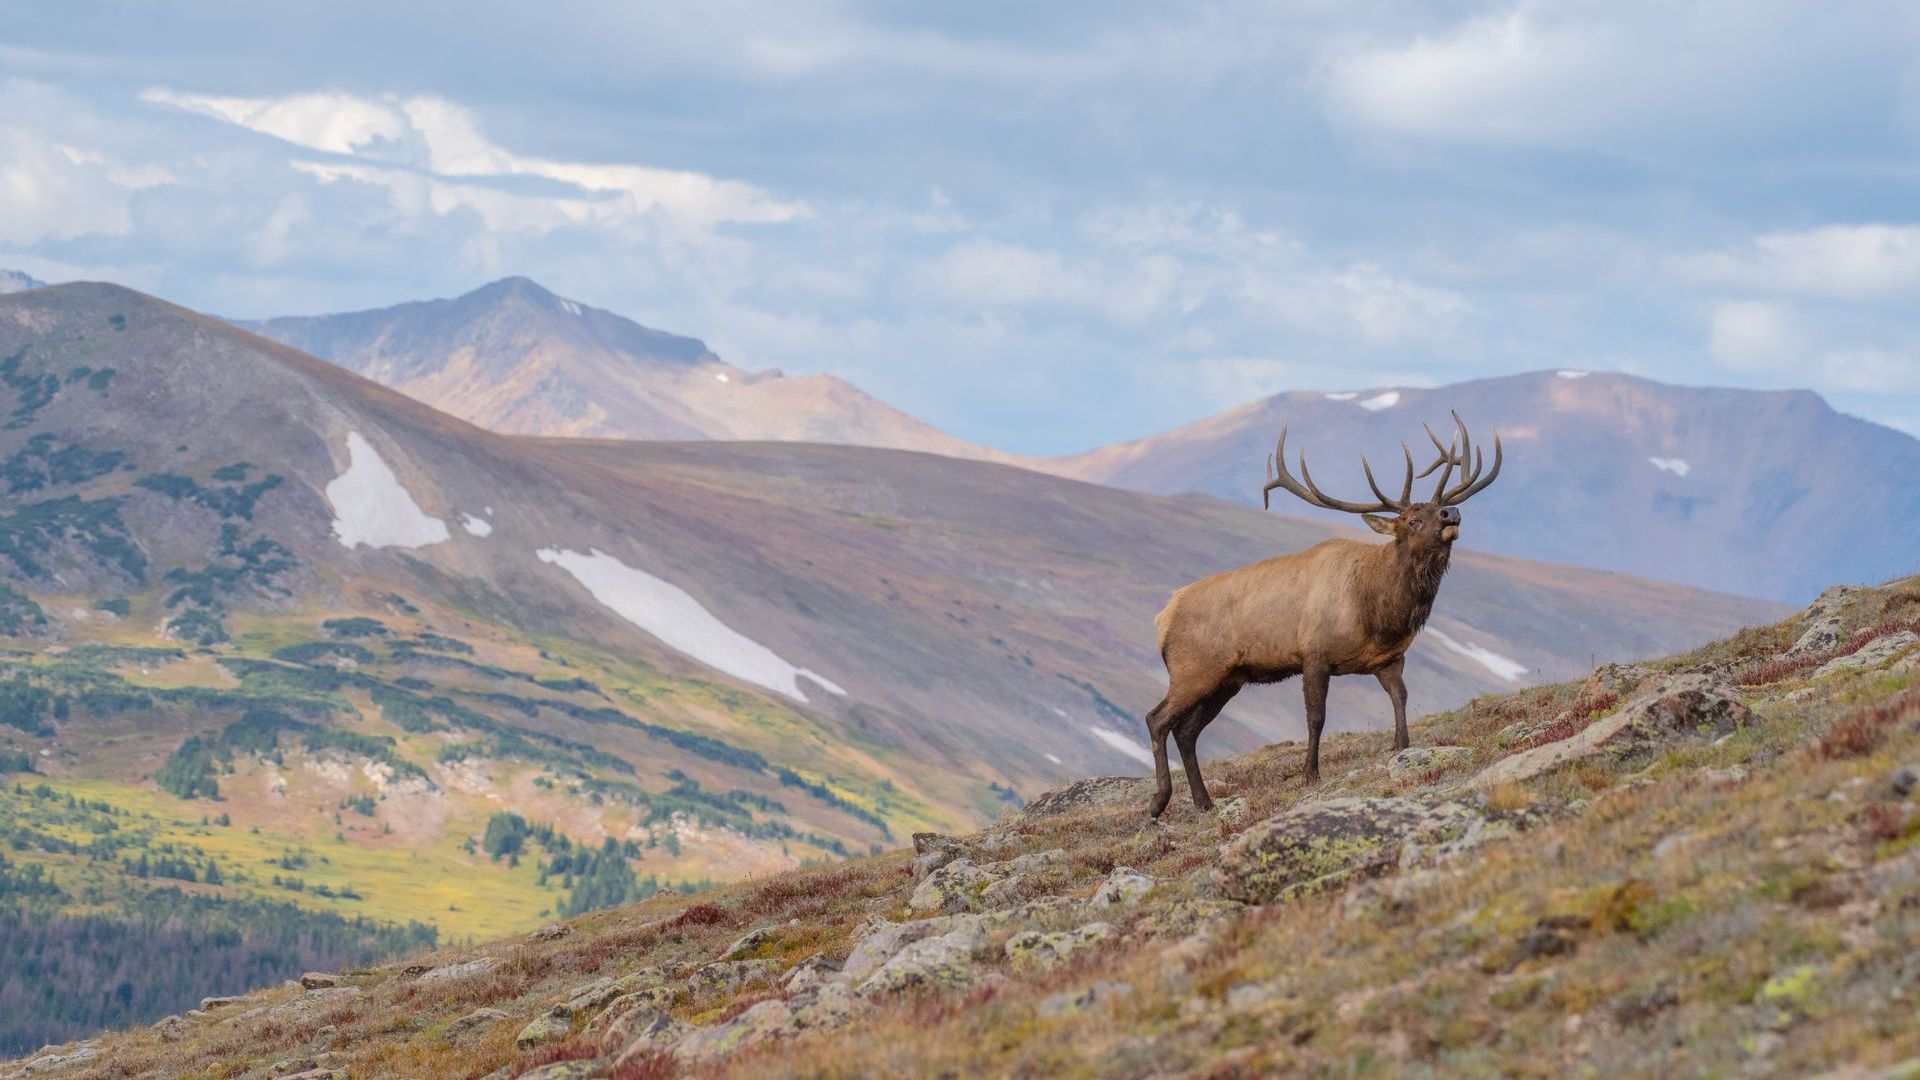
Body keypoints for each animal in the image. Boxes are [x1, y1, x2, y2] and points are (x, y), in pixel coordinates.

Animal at [1145, 411, 1503, 819]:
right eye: (1413, 520)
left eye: (1435, 508)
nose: (1451, 512)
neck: (1378, 613)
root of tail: (1162, 617)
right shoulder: (1314, 654)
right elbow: (1316, 717)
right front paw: (1310, 773)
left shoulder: (1389, 658)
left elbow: (1400, 697)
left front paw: (1402, 746)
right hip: (1193, 670)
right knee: (1157, 719)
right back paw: (1158, 802)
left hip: (1227, 680)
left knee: (1186, 731)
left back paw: (1204, 802)